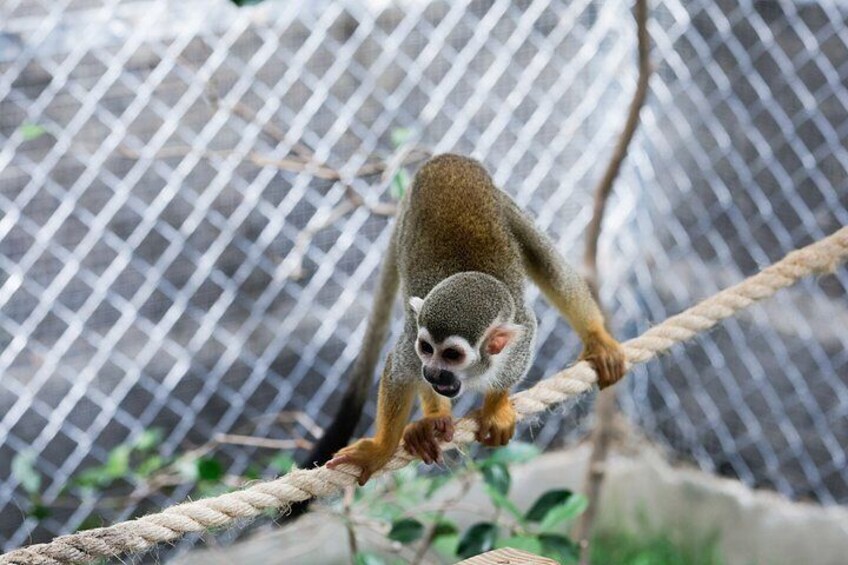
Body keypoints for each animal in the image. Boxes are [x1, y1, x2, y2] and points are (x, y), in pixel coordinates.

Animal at [314, 153, 625, 485]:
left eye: (452, 354)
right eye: (426, 349)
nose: (432, 372)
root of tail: (447, 159)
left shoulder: (520, 338)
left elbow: (515, 360)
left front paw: (496, 407)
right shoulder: (413, 345)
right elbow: (398, 372)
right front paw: (381, 448)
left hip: (504, 205)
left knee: (549, 265)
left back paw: (596, 337)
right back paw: (433, 419)